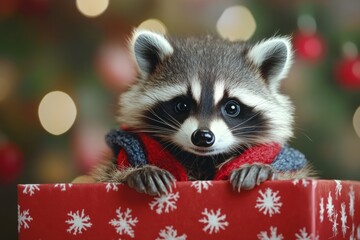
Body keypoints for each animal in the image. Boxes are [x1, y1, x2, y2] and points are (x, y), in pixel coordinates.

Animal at [92, 29, 312, 195]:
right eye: (182, 105)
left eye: (232, 107)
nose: (203, 137)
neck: (203, 159)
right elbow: (105, 176)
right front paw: (135, 172)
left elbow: (297, 175)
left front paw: (263, 169)